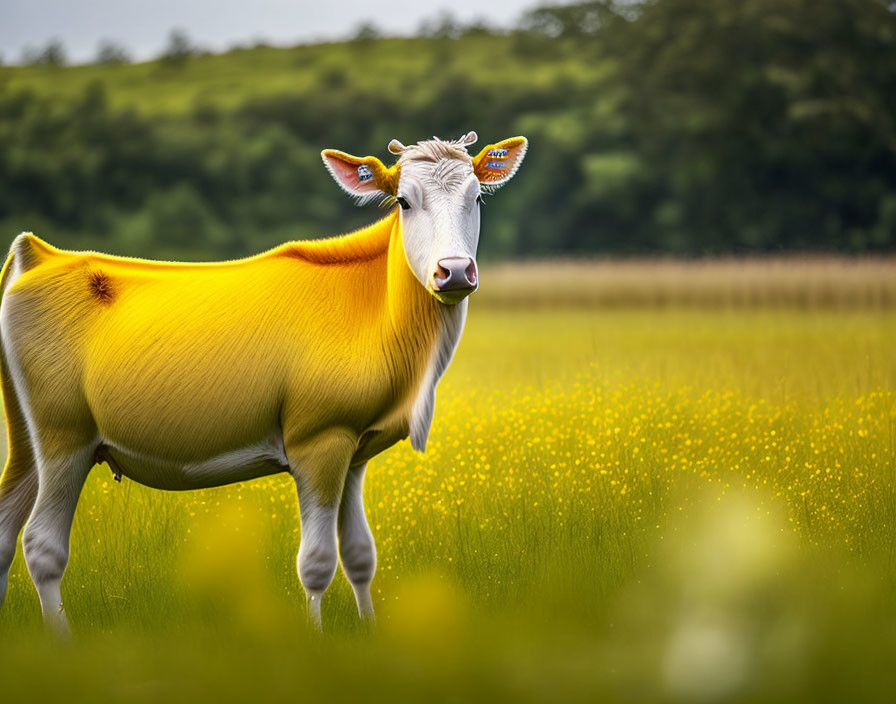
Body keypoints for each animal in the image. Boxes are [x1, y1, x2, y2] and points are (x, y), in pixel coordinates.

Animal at [0, 132, 528, 632]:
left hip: (27, 441)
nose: (454, 271)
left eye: (477, 197)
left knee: (6, 528)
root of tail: (39, 254)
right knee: (41, 546)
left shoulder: (355, 451)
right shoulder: (318, 439)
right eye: (403, 201)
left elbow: (360, 554)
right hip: (64, 437)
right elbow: (317, 562)